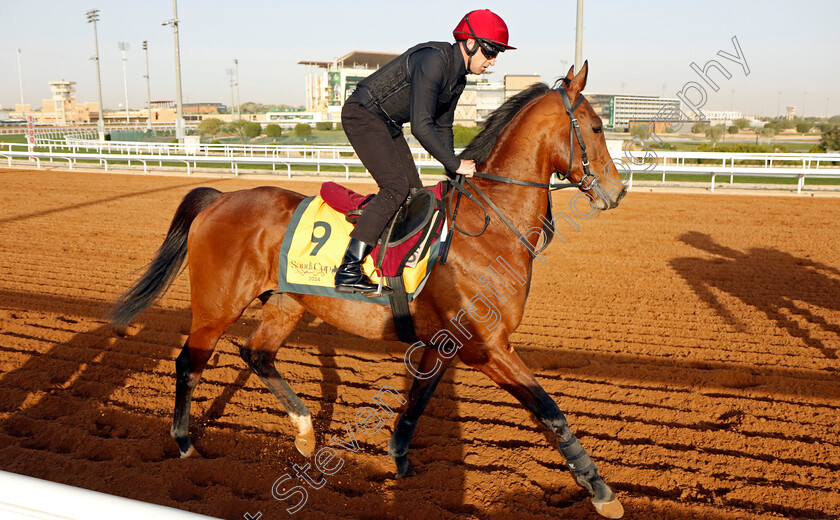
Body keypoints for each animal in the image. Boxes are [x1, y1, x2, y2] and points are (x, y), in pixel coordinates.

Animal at [108, 63, 628, 516]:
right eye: (596, 126)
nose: (616, 192)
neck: (489, 226)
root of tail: (219, 198)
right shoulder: (488, 346)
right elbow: (550, 411)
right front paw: (602, 492)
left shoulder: (444, 343)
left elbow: (417, 403)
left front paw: (399, 462)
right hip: (217, 306)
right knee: (189, 364)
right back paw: (183, 442)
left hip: (287, 303)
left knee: (256, 353)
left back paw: (304, 432)